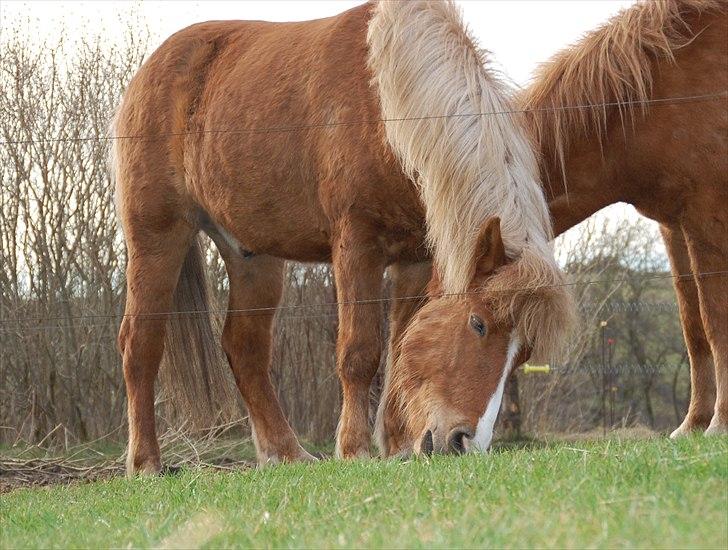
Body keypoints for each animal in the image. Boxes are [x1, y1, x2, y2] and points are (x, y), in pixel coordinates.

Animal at [112, 0, 576, 474]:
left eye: (524, 353)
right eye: (478, 323)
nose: (464, 442)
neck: (387, 106)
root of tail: (153, 67)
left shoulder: (415, 260)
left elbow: (399, 348)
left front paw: (397, 445)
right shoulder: (357, 246)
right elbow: (360, 351)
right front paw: (354, 448)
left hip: (252, 256)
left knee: (245, 348)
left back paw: (286, 452)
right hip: (156, 237)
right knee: (139, 344)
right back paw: (145, 462)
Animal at [378, 0, 724, 458]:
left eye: (478, 324)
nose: (464, 442)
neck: (656, 94)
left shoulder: (705, 213)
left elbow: (714, 320)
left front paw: (718, 424)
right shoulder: (675, 224)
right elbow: (693, 325)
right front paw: (692, 425)